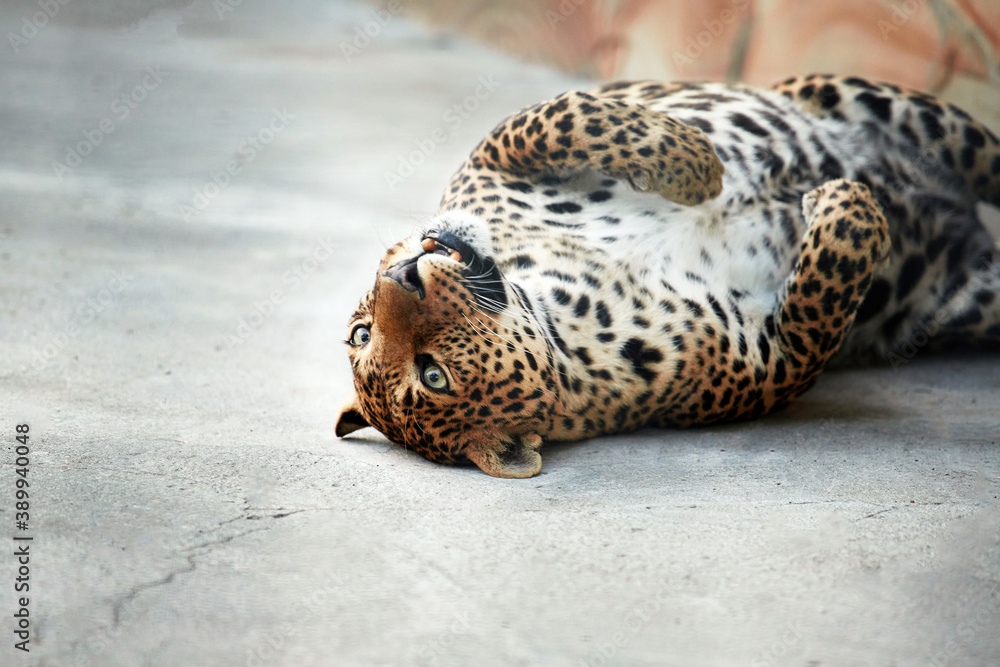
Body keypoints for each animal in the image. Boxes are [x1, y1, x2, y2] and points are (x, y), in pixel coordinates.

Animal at [337, 74, 1000, 478]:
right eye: (434, 377)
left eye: (358, 333)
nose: (403, 274)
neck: (562, 292)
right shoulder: (777, 361)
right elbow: (830, 277)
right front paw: (839, 198)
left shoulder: (493, 157)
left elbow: (570, 114)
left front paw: (703, 170)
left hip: (899, 109)